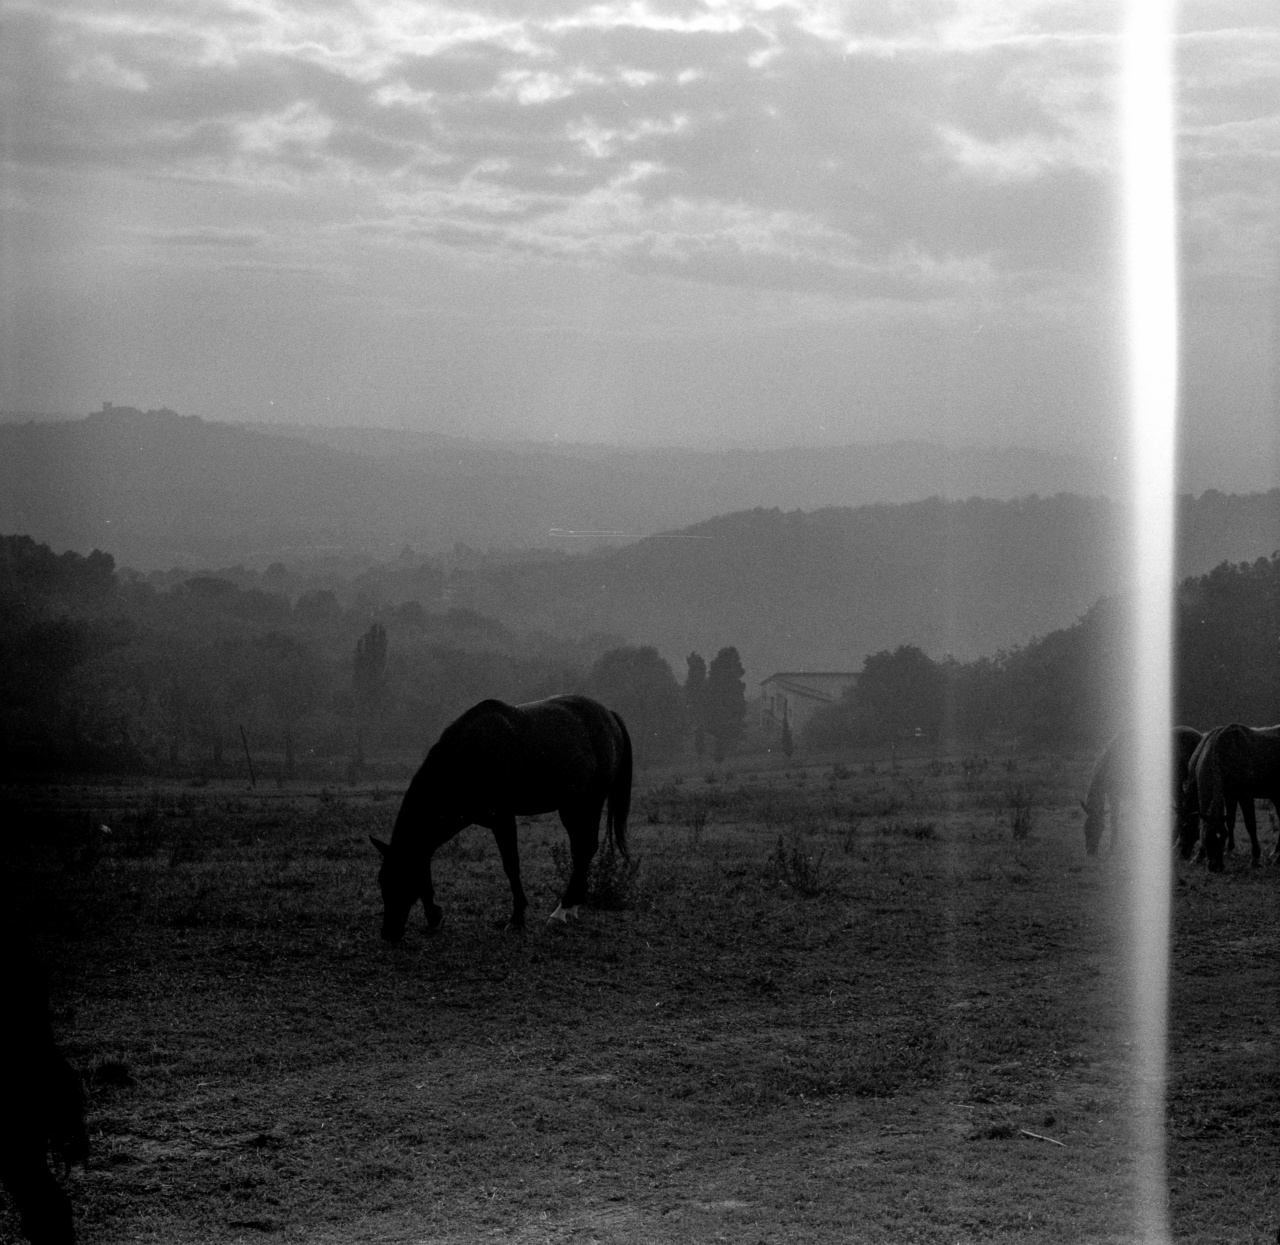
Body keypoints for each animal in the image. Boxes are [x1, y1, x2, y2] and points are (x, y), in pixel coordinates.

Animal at [368, 696, 632, 936]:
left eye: (403, 879)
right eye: (382, 880)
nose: (389, 933)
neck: (469, 758)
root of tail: (608, 715)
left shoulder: (503, 819)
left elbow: (511, 865)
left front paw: (516, 919)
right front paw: (434, 916)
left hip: (589, 802)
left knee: (586, 848)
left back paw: (561, 910)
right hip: (571, 806)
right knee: (581, 849)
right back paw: (573, 906)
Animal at [1080, 716, 1198, 854]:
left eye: (1096, 826)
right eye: (1085, 827)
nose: (1090, 852)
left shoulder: (1117, 795)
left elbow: (1116, 818)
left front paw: (1112, 848)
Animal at [1177, 721, 1280, 870]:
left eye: (1185, 826)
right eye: (1206, 836)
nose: (1216, 866)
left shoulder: (1245, 795)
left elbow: (1250, 825)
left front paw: (1255, 857)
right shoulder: (1230, 795)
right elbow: (1230, 821)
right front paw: (1203, 855)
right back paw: (1276, 853)